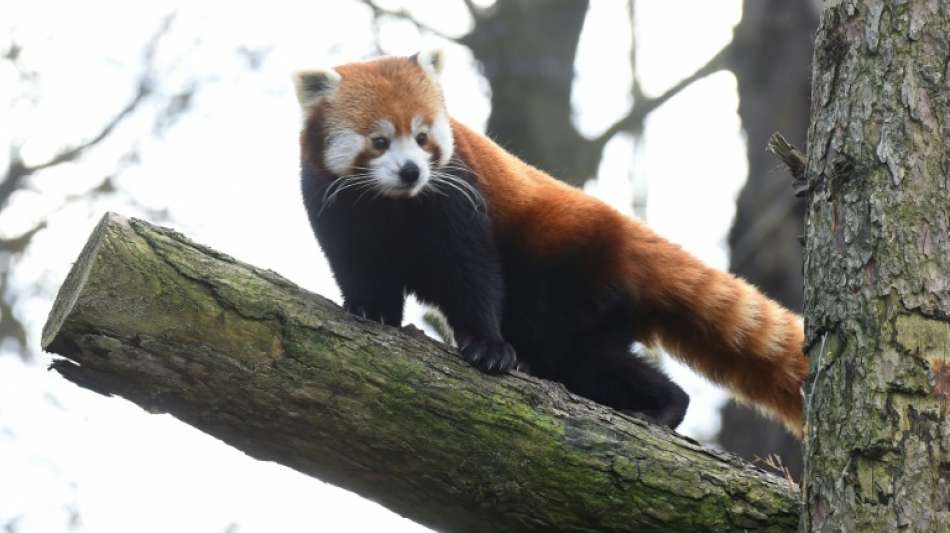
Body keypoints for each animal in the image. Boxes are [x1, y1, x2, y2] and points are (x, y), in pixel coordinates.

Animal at [294, 51, 808, 436]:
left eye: (423, 138)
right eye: (380, 141)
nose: (411, 172)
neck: (392, 204)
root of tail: (630, 233)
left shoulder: (456, 194)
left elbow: (471, 272)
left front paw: (486, 346)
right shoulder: (332, 203)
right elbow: (355, 263)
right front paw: (370, 308)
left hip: (573, 269)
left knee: (566, 347)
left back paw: (661, 405)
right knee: (587, 362)